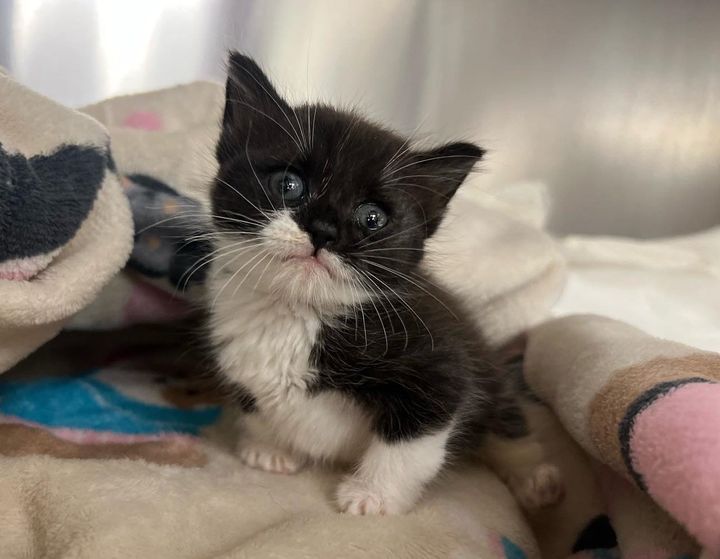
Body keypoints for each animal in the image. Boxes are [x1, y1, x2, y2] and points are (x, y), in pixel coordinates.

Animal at [208, 52, 564, 516]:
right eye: (289, 184)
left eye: (372, 217)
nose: (323, 231)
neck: (299, 310)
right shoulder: (239, 360)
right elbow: (255, 405)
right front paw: (269, 450)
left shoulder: (441, 368)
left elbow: (408, 444)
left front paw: (370, 496)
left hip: (489, 370)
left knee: (507, 423)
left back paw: (535, 481)